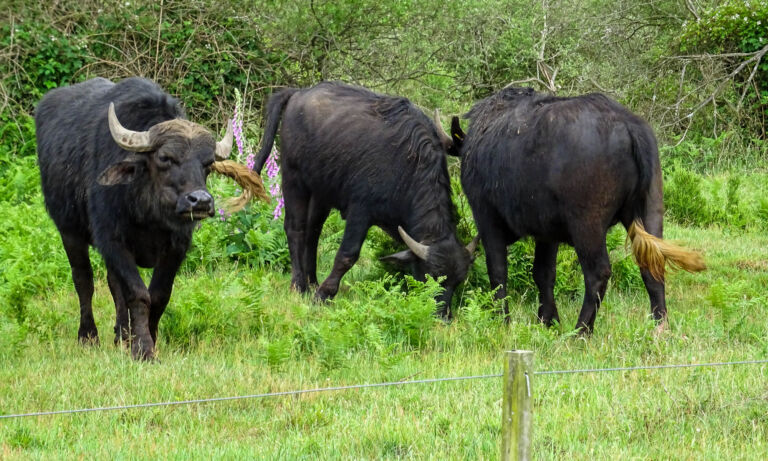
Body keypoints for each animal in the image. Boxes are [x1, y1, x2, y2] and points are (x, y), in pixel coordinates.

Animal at [36, 76, 243, 360]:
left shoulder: (176, 247)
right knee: (83, 281)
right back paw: (88, 336)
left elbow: (158, 295)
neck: (148, 214)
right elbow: (137, 294)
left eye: (208, 163)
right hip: (69, 231)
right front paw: (142, 349)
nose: (200, 201)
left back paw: (122, 334)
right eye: (165, 157)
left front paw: (147, 339)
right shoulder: (112, 240)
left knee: (113, 285)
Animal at [255, 82, 476, 316]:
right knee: (295, 228)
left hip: (321, 192)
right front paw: (323, 294)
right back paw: (299, 285)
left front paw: (320, 289)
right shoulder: (360, 211)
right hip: (293, 178)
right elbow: (347, 255)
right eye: (432, 276)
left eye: (457, 281)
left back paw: (312, 281)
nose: (442, 316)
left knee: (312, 234)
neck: (409, 165)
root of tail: (297, 94)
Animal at [450, 85, 708, 330]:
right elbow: (543, 273)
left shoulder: (486, 218)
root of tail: (627, 123)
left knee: (598, 273)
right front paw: (548, 320)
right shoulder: (546, 233)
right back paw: (659, 326)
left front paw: (502, 320)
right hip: (648, 211)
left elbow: (498, 271)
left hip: (587, 225)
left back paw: (581, 330)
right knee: (652, 266)